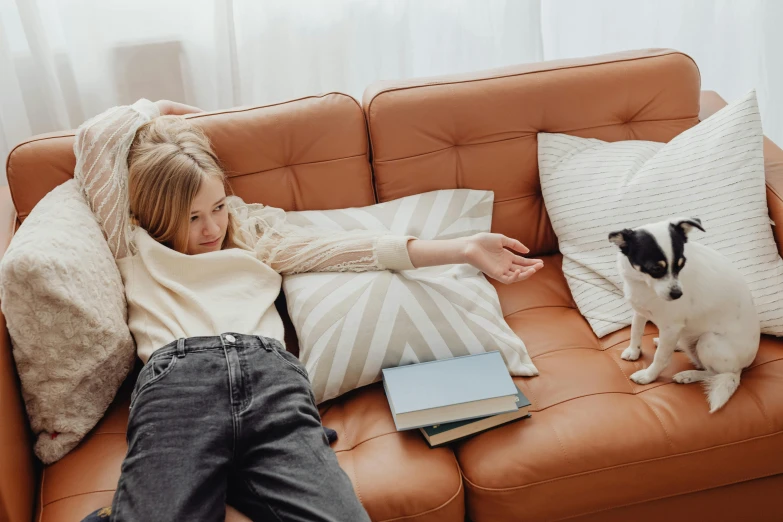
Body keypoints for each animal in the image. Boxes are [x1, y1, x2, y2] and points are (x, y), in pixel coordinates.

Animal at [608, 215, 760, 410]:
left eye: (681, 264)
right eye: (656, 268)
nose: (677, 294)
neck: (643, 284)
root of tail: (742, 368)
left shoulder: (670, 327)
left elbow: (661, 358)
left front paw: (648, 376)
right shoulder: (640, 310)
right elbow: (636, 331)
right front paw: (633, 351)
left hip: (709, 341)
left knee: (714, 372)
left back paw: (688, 375)